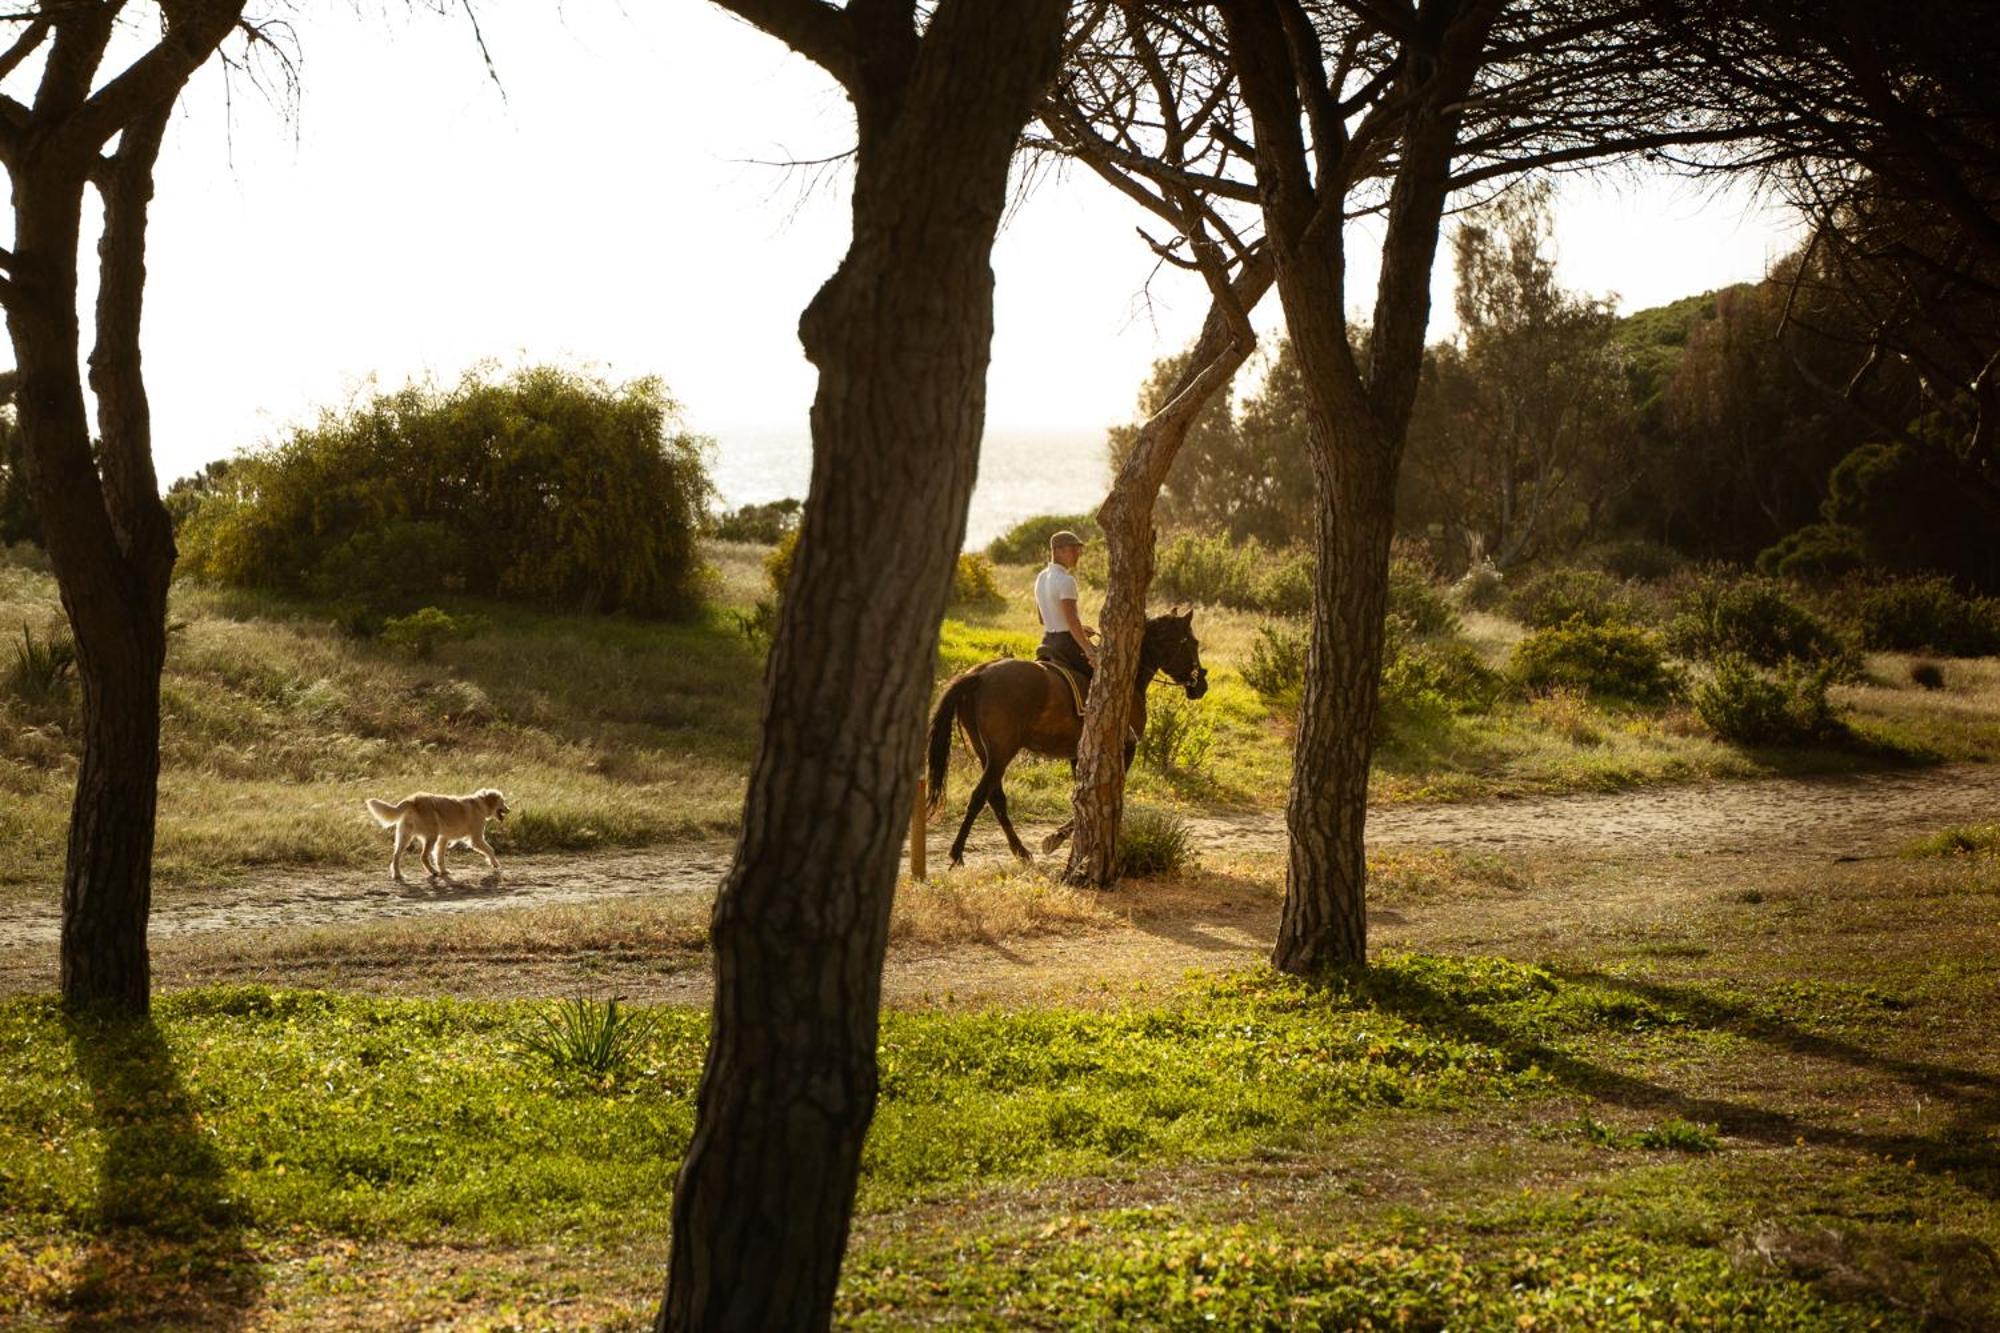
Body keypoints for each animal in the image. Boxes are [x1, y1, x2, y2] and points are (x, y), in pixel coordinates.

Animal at [366, 784, 512, 876]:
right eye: (503, 801)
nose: (509, 810)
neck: (480, 803)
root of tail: (412, 799)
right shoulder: (476, 838)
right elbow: (490, 850)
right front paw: (495, 864)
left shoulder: (443, 839)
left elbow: (440, 857)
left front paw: (444, 871)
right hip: (431, 836)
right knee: (423, 856)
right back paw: (433, 872)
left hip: (405, 837)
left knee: (395, 857)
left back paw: (397, 875)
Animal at [920, 608, 1200, 860]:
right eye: (1193, 643)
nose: (1201, 685)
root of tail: (979, 674)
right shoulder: (1123, 750)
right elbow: (1095, 797)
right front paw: (1055, 839)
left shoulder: (1079, 755)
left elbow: (1082, 795)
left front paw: (1060, 837)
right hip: (1002, 752)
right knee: (981, 795)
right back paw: (957, 853)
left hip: (985, 751)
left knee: (995, 796)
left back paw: (1020, 851)